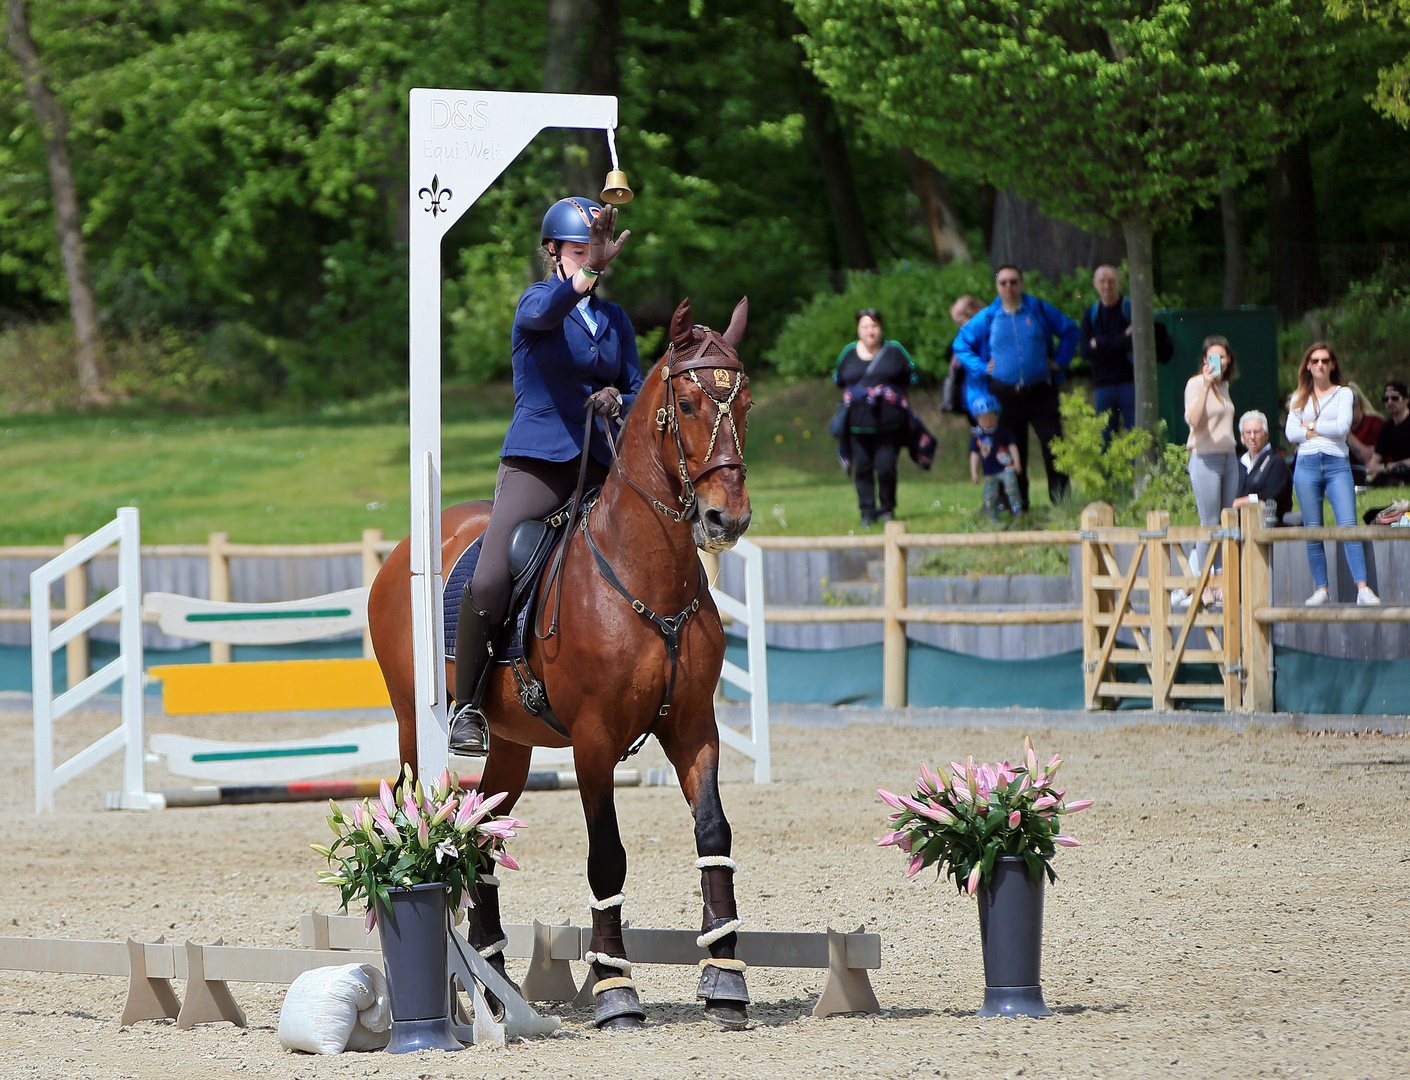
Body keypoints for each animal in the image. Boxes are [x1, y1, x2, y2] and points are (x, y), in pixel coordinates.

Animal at [369, 293, 755, 1032]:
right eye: (688, 404)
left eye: (744, 400)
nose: (728, 519)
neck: (646, 572)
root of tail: (403, 552)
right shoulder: (593, 741)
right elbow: (607, 856)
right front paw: (615, 990)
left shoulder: (694, 725)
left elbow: (715, 832)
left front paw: (725, 978)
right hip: (412, 726)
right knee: (428, 816)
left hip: (512, 746)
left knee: (479, 834)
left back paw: (494, 982)